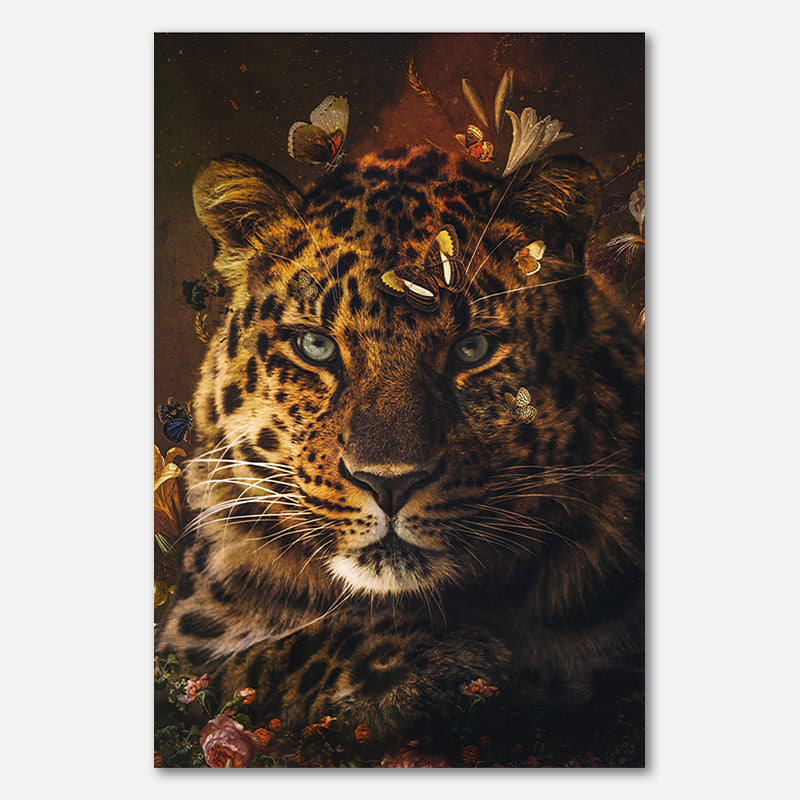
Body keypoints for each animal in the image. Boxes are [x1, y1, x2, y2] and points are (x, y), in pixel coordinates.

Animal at [155, 143, 644, 742]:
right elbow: (249, 665)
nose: (389, 484)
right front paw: (435, 666)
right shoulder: (184, 648)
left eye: (472, 349)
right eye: (316, 347)